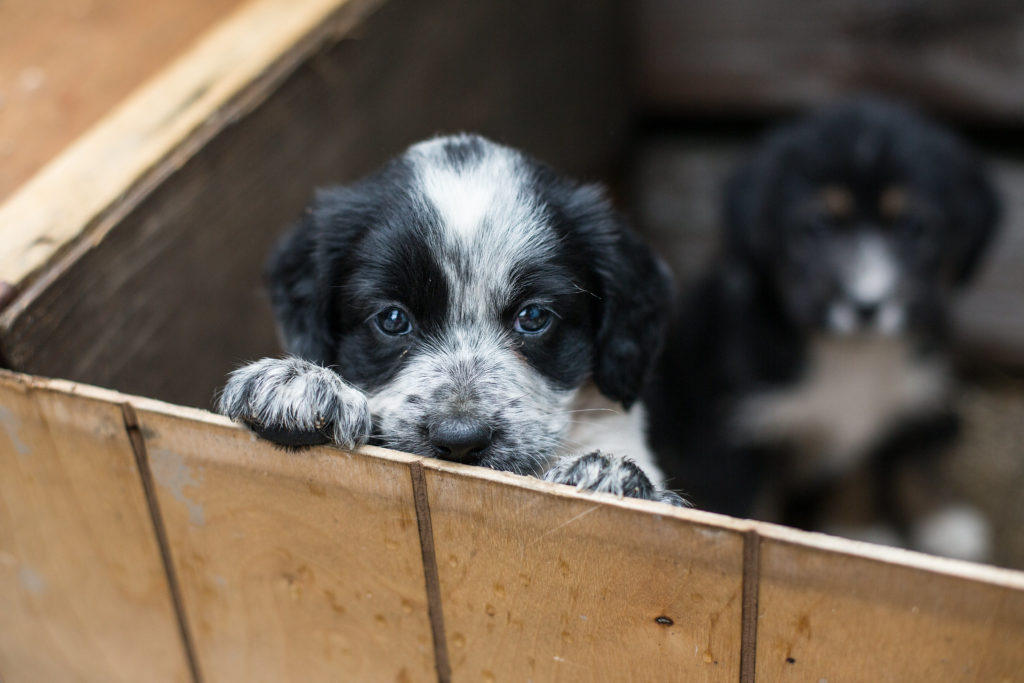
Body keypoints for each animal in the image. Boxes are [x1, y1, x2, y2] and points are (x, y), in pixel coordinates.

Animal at [647, 98, 999, 557]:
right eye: (817, 225)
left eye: (913, 227)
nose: (867, 304)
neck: (852, 353)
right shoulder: (732, 434)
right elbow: (752, 509)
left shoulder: (904, 401)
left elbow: (880, 470)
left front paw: (864, 532)